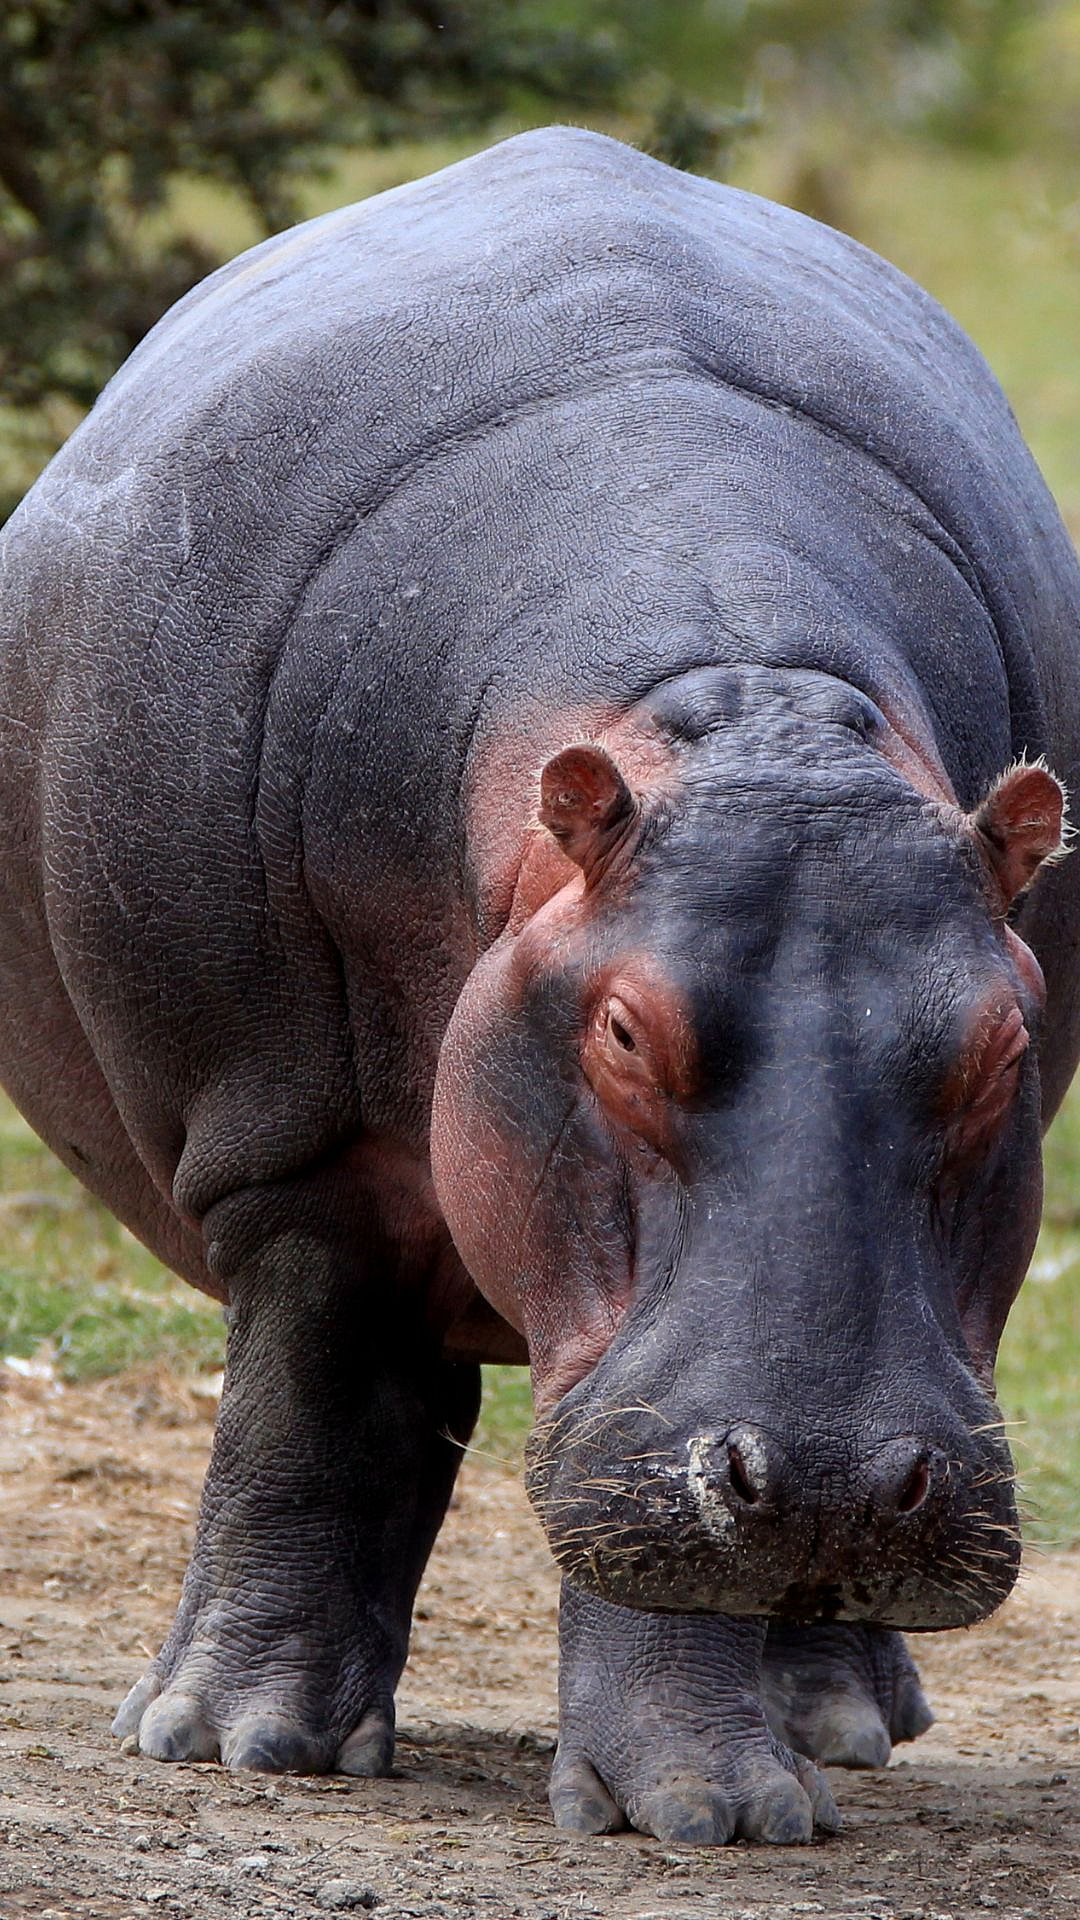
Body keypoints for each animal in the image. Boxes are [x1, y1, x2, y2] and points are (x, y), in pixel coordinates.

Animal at [1, 126, 1079, 1849]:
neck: (732, 707)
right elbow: (309, 1405)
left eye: (998, 1043)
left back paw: (836, 1722)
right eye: (623, 1027)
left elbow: (650, 1525)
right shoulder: (290, 1144)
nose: (838, 1486)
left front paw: (710, 1811)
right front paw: (232, 1746)